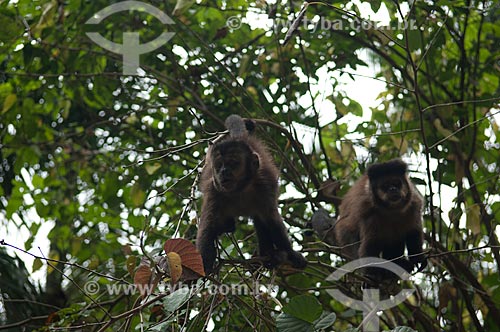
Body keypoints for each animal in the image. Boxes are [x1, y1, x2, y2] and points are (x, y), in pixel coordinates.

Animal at [196, 114, 308, 272]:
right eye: (218, 166)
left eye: (232, 163)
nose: (223, 171)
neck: (240, 189)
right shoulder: (214, 191)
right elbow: (207, 229)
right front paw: (201, 268)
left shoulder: (264, 185)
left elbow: (271, 219)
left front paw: (291, 253)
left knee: (260, 219)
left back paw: (270, 255)